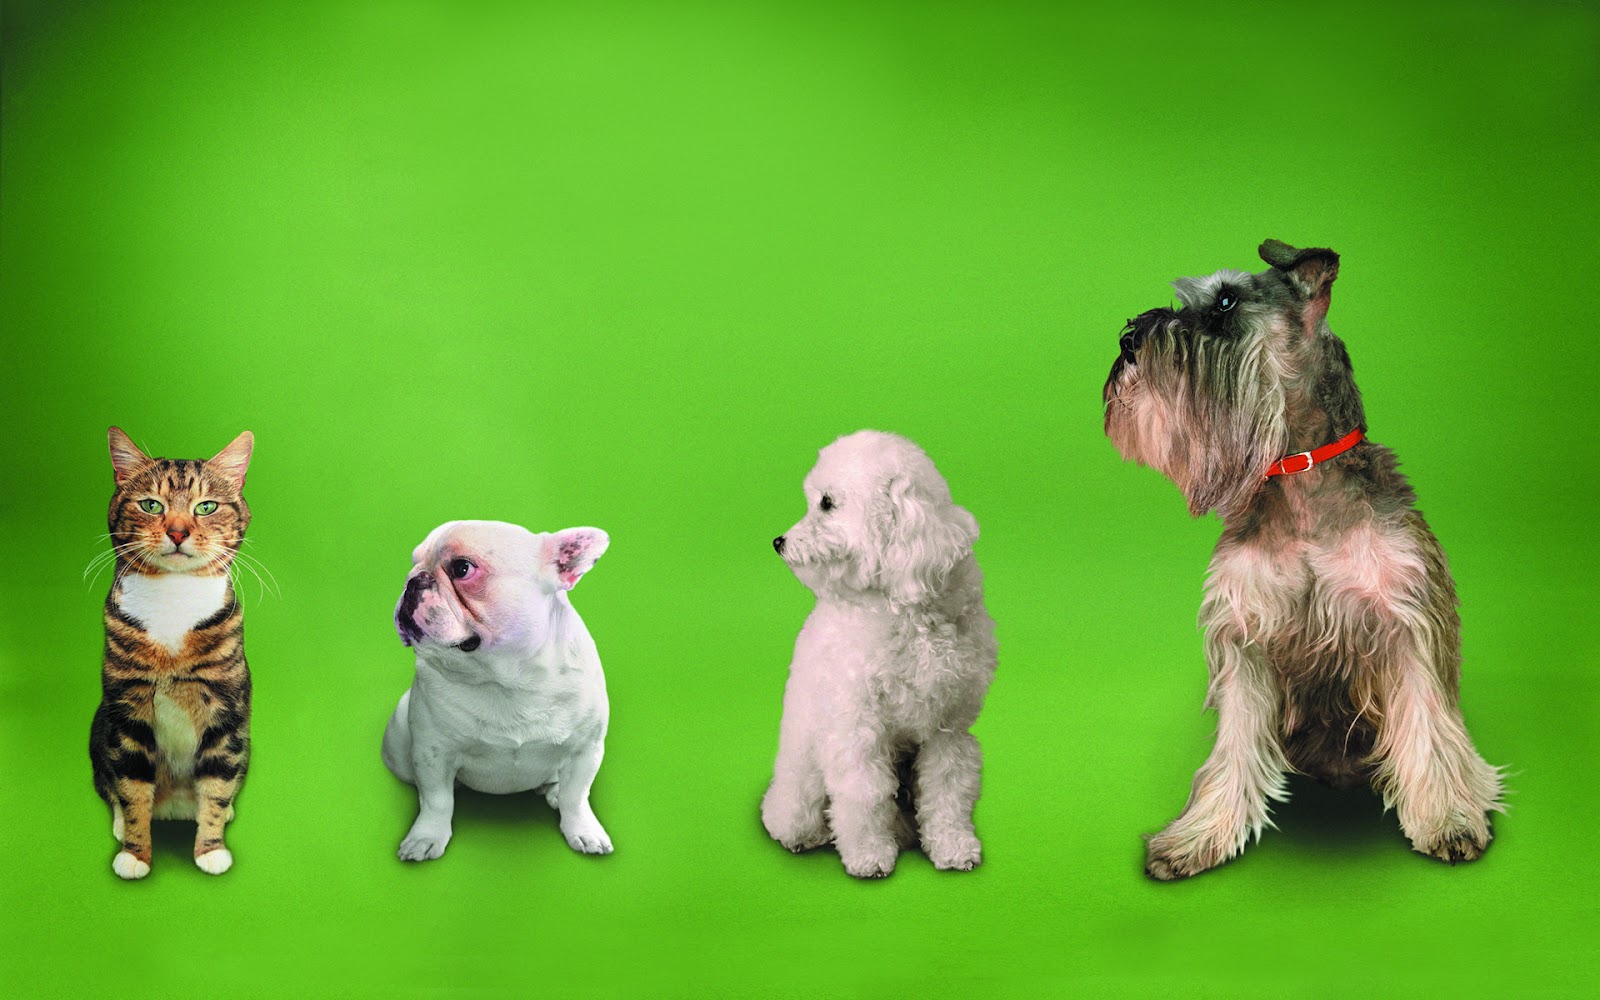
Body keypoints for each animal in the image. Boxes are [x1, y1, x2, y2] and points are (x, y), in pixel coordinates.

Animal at [90, 425, 256, 876]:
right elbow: (131, 788)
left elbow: (217, 784)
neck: (174, 598)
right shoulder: (127, 713)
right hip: (99, 726)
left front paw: (211, 849)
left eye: (206, 506)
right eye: (151, 504)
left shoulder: (226, 712)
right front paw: (134, 853)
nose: (178, 531)